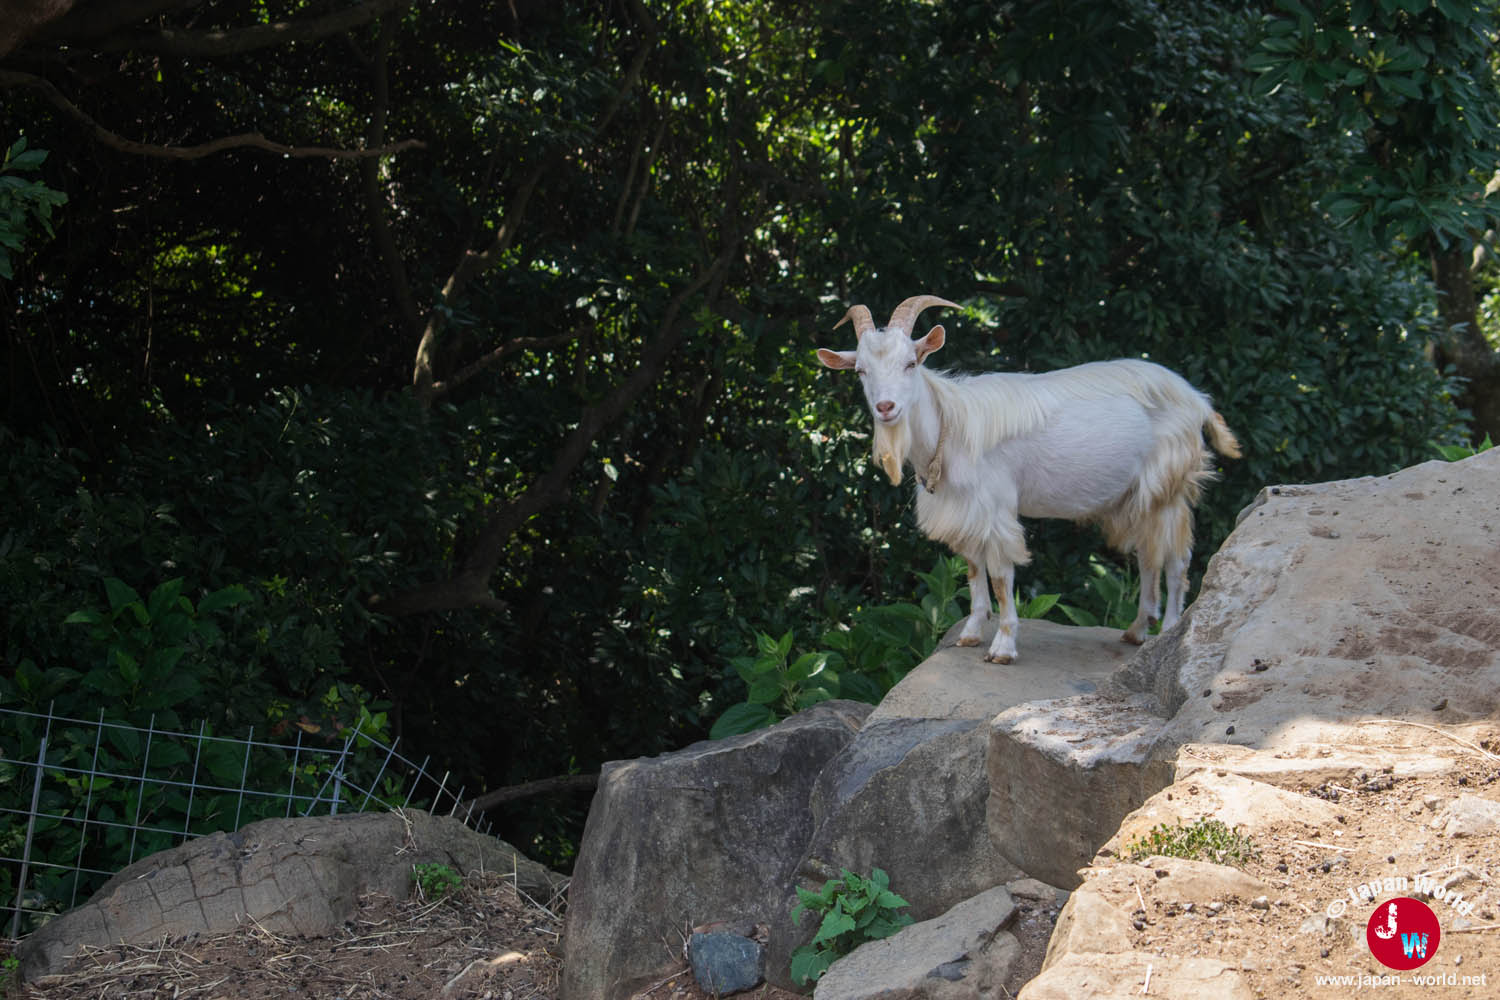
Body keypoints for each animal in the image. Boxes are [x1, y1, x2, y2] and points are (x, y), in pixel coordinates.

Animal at [817, 294, 1240, 664]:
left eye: (910, 363)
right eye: (860, 371)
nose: (886, 407)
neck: (950, 427)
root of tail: (1196, 398)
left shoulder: (996, 510)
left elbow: (1001, 578)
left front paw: (1003, 647)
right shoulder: (965, 511)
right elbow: (974, 570)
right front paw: (971, 633)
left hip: (1170, 486)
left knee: (1177, 559)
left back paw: (1167, 632)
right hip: (1139, 495)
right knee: (1148, 554)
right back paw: (1137, 630)